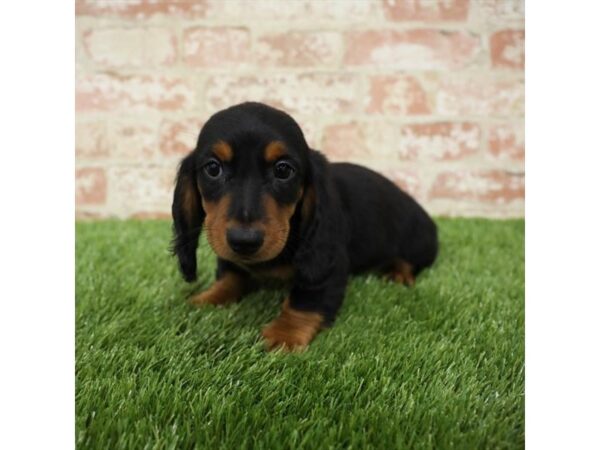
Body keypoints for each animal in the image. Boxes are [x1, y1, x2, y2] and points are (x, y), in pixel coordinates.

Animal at [171, 102, 438, 352]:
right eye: (213, 168)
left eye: (283, 169)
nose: (245, 240)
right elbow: (230, 277)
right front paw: (206, 298)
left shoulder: (328, 265)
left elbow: (305, 299)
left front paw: (284, 335)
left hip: (417, 241)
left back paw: (398, 273)